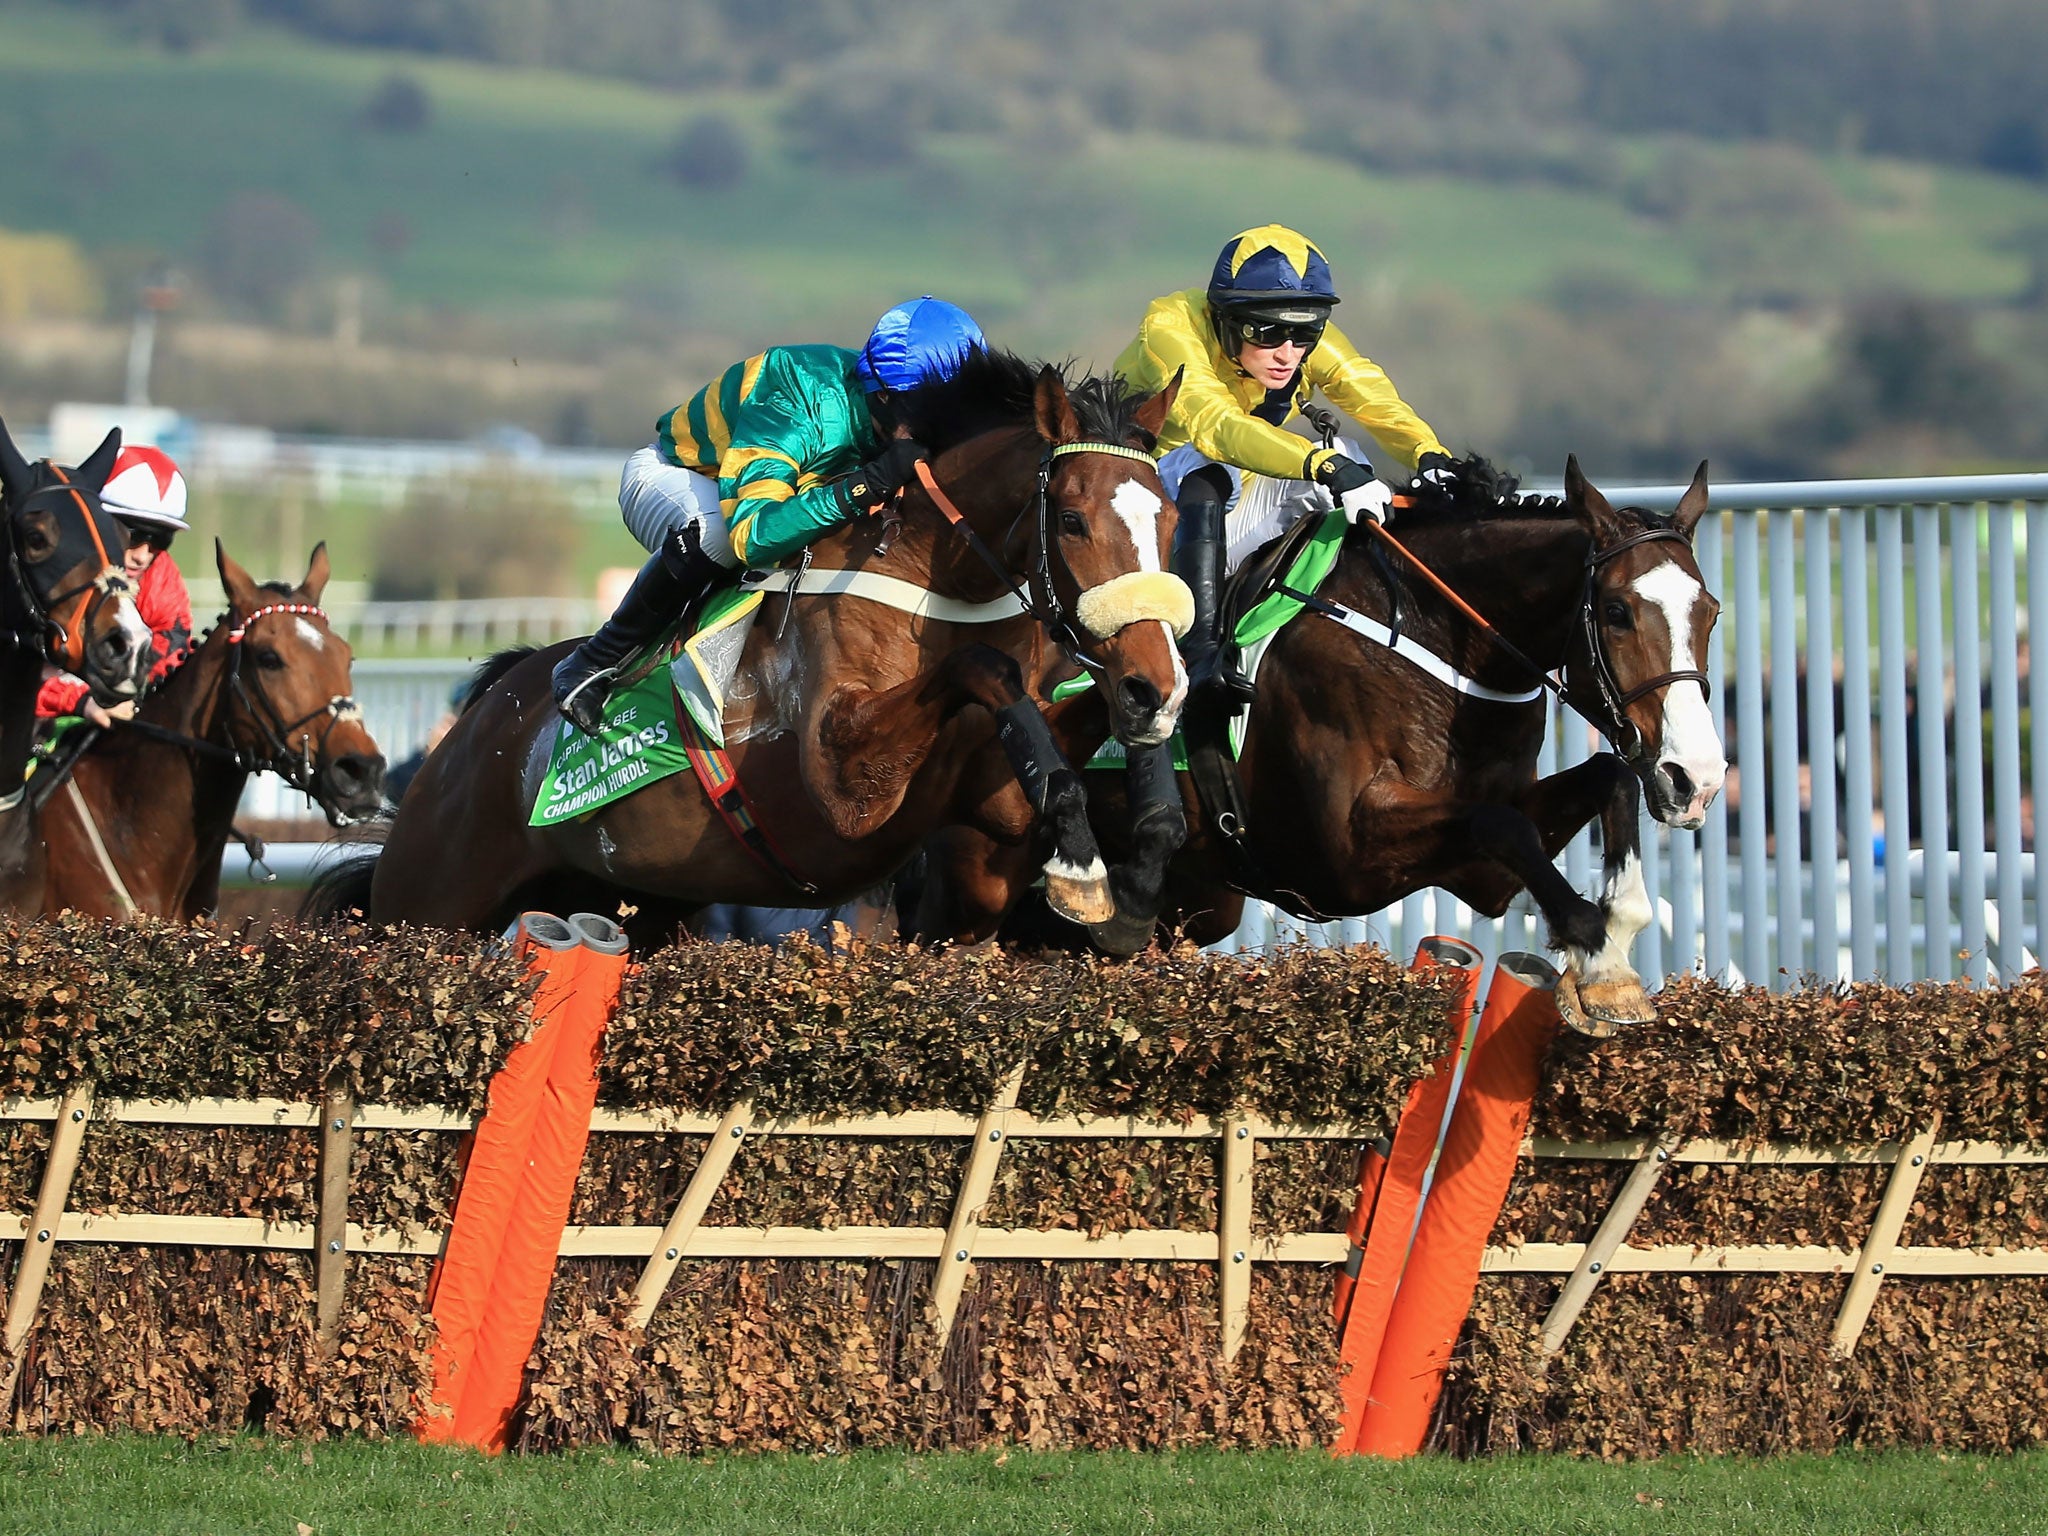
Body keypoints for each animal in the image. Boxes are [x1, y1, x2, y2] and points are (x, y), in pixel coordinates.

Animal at [929, 456, 1728, 1036]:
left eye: (1712, 613)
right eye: (1618, 611)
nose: (1697, 779)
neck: (1438, 638)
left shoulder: (1479, 873)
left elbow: (1602, 780)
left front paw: (1616, 948)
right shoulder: (1342, 852)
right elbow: (1503, 822)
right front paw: (1596, 947)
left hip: (1193, 904)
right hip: (978, 875)